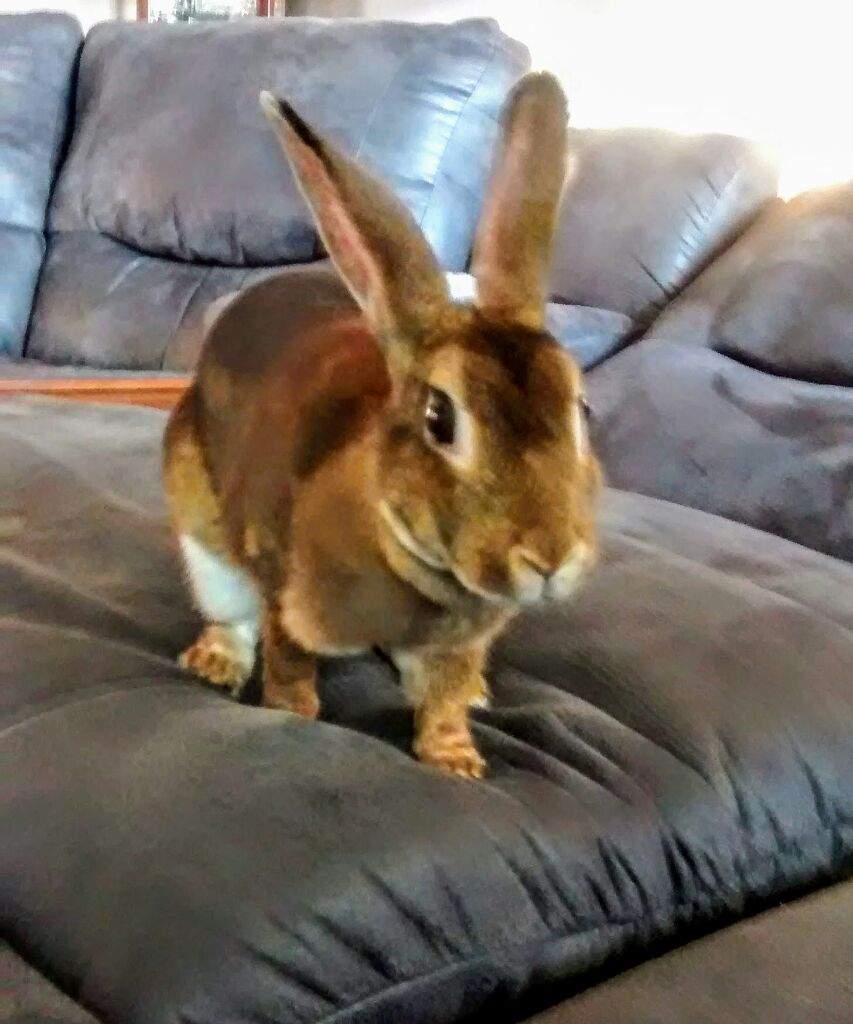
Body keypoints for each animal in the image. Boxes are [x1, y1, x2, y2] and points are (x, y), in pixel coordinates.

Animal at [163, 72, 601, 779]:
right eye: (439, 417)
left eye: (581, 409)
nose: (551, 558)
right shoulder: (282, 588)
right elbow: (288, 665)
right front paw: (290, 715)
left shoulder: (459, 645)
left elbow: (443, 699)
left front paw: (455, 762)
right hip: (204, 541)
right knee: (228, 610)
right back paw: (213, 663)